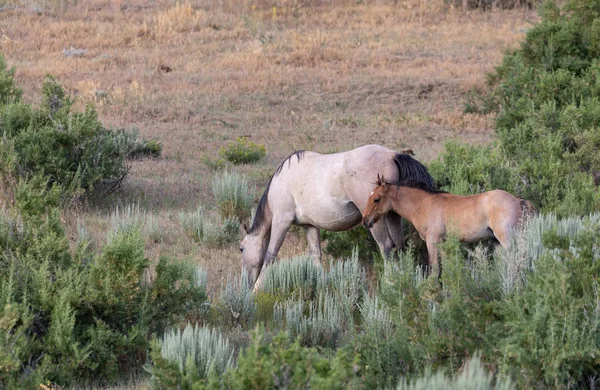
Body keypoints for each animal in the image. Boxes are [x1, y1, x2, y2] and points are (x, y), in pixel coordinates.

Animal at [240, 145, 436, 290]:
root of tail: (391, 155)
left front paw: (257, 289)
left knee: (387, 247)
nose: (246, 285)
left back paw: (388, 284)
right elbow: (316, 256)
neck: (282, 181)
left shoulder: (282, 221)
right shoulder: (310, 227)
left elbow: (270, 255)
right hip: (392, 216)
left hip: (376, 221)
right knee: (399, 247)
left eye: (241, 249)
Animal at [360, 174, 540, 272]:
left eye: (376, 199)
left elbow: (434, 269)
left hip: (507, 239)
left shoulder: (432, 242)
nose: (365, 221)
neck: (423, 204)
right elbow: (446, 267)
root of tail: (518, 200)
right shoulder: (444, 244)